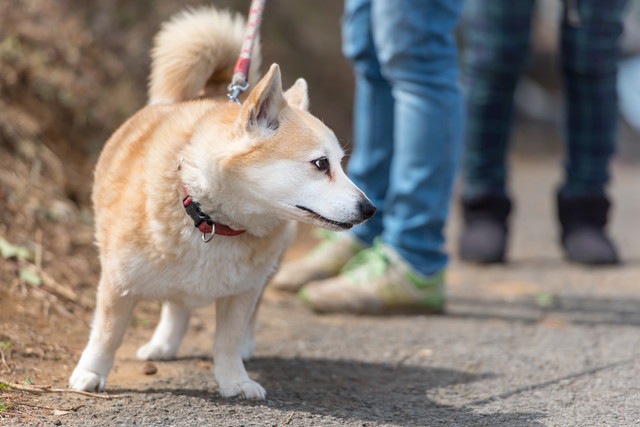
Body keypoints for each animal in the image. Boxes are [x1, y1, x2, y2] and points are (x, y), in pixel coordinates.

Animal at [69, 7, 376, 402]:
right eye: (321, 164)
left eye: (340, 163)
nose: (370, 209)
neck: (212, 219)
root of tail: (217, 91)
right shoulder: (119, 282)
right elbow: (107, 334)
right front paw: (91, 372)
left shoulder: (242, 292)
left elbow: (227, 341)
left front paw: (234, 380)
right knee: (177, 303)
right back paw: (163, 344)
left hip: (267, 270)